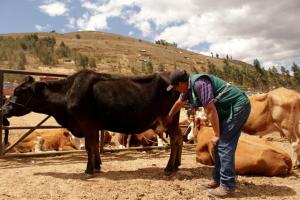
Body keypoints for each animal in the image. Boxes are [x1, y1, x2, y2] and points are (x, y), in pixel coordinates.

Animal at [1, 69, 182, 176]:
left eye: (20, 92)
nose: (3, 109)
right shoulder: (93, 126)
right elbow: (94, 145)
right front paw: (97, 165)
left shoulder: (86, 123)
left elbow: (89, 146)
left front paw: (89, 169)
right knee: (179, 138)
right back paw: (177, 164)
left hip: (169, 118)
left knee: (174, 140)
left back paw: (169, 168)